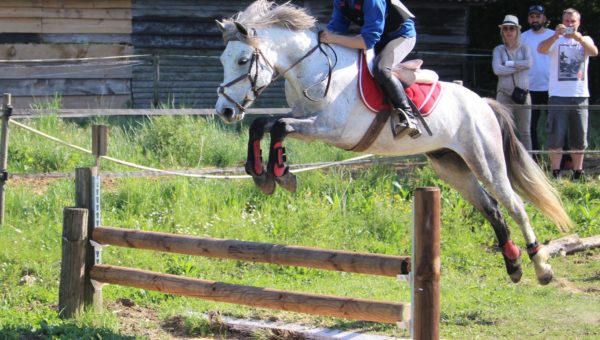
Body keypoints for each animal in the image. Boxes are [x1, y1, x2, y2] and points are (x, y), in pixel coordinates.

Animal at [216, 1, 572, 286]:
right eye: (223, 59)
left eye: (243, 60)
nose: (225, 111)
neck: (314, 69)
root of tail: (483, 103)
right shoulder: (305, 120)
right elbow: (263, 125)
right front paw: (260, 173)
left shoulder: (330, 128)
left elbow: (279, 126)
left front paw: (280, 174)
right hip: (451, 165)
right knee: (492, 209)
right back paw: (513, 266)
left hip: (485, 159)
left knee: (515, 206)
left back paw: (541, 268)